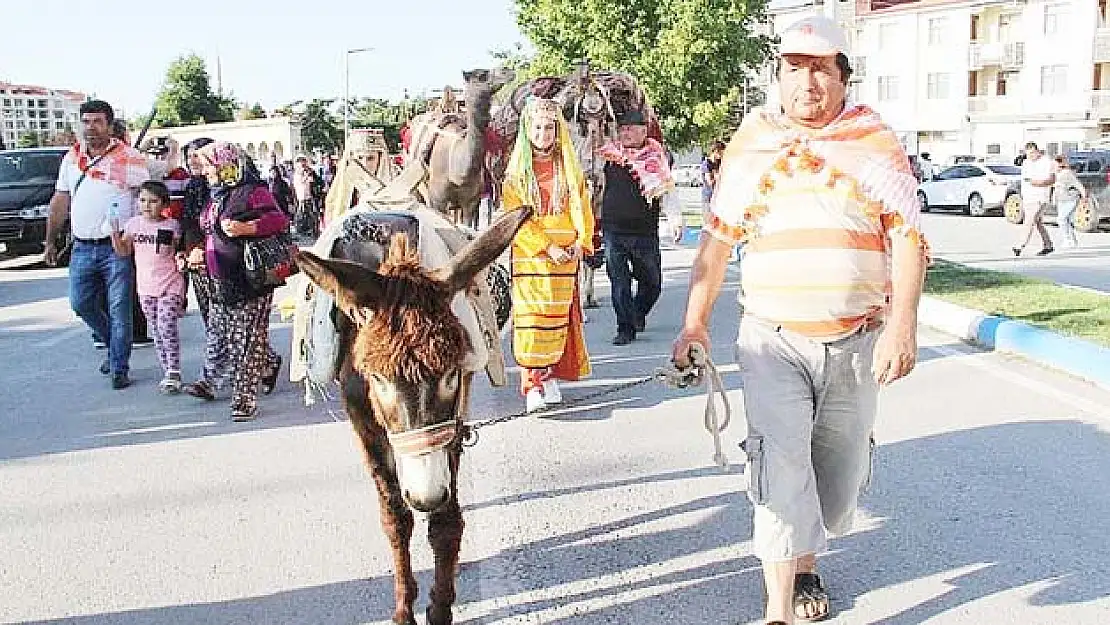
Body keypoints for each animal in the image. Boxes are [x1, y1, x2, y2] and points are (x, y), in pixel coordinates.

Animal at [295, 206, 528, 625]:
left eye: (451, 374)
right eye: (377, 378)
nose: (425, 496)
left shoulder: (453, 420)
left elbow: (445, 523)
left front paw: (440, 606)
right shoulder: (364, 423)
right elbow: (395, 518)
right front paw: (405, 608)